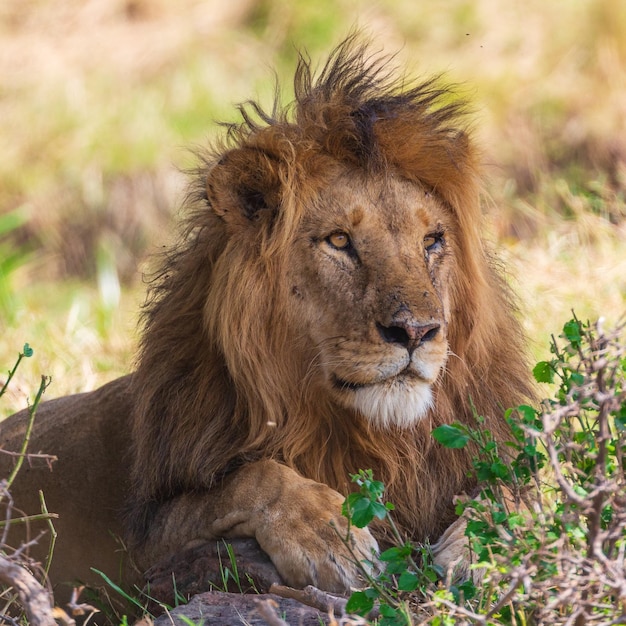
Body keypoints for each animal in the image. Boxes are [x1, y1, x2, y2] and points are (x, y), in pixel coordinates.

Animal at [0, 37, 532, 608]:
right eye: (339, 241)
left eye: (432, 241)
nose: (416, 331)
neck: (377, 437)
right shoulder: (141, 540)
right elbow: (251, 478)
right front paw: (333, 540)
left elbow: (521, 490)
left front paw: (487, 545)